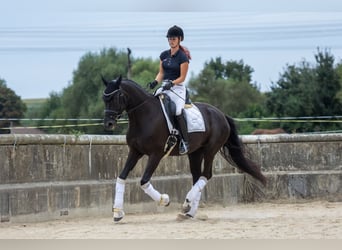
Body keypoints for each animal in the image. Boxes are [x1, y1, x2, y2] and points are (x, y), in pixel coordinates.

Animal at [101, 75, 268, 221]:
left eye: (116, 97)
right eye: (104, 98)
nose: (109, 124)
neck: (144, 116)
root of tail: (221, 114)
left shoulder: (156, 154)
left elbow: (144, 181)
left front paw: (164, 200)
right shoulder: (135, 152)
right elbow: (121, 177)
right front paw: (117, 213)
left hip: (210, 150)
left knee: (206, 175)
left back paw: (186, 203)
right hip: (195, 153)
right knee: (197, 177)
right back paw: (189, 211)